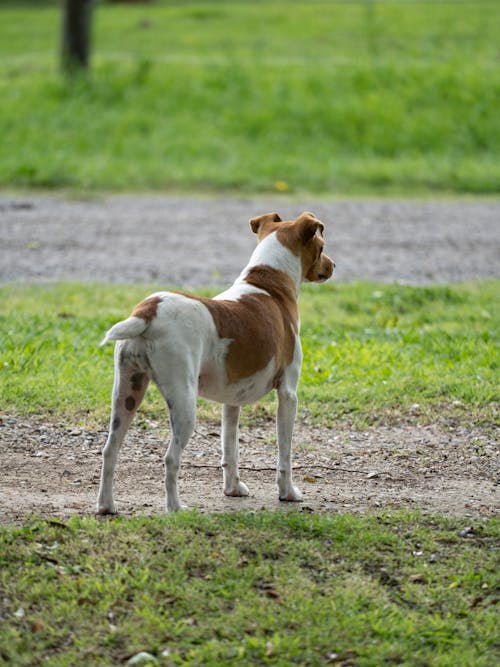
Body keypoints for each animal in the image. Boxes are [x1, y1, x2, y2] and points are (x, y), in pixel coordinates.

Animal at [95, 211, 334, 516]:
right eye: (322, 246)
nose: (333, 265)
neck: (269, 283)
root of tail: (148, 311)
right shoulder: (288, 394)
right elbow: (285, 454)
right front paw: (288, 493)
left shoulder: (231, 402)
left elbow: (230, 449)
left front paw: (233, 489)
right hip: (184, 403)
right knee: (170, 458)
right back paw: (176, 508)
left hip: (126, 393)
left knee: (110, 449)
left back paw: (106, 506)